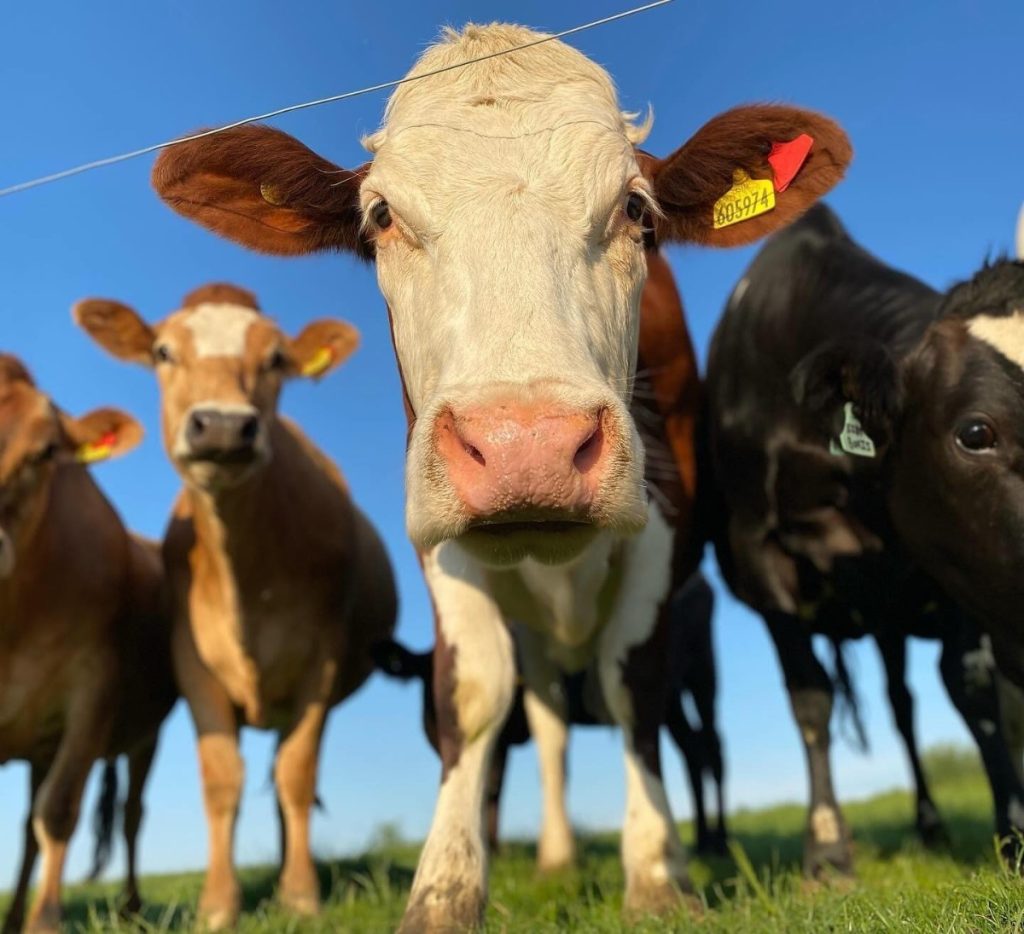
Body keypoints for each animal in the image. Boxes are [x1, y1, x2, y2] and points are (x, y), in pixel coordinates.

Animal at [0, 355, 174, 933]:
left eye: (45, 452)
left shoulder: (93, 686)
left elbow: (58, 811)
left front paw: (45, 922)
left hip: (145, 736)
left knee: (130, 814)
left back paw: (131, 907)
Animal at [72, 283, 398, 929]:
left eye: (276, 359)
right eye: (163, 351)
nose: (222, 425)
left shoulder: (321, 661)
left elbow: (296, 775)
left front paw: (300, 897)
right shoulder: (193, 663)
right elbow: (221, 781)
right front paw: (219, 906)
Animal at [373, 572, 727, 860]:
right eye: (426, 678)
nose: (449, 721)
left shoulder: (501, 736)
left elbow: (493, 787)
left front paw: (494, 850)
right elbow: (492, 786)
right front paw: (493, 849)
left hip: (702, 675)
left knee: (712, 750)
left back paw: (717, 841)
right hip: (671, 698)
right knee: (693, 752)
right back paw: (702, 840)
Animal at [704, 202, 1024, 878]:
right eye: (975, 433)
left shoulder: (943, 560)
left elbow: (972, 687)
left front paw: (1013, 829)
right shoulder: (759, 553)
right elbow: (810, 697)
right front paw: (826, 851)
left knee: (903, 705)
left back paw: (930, 825)